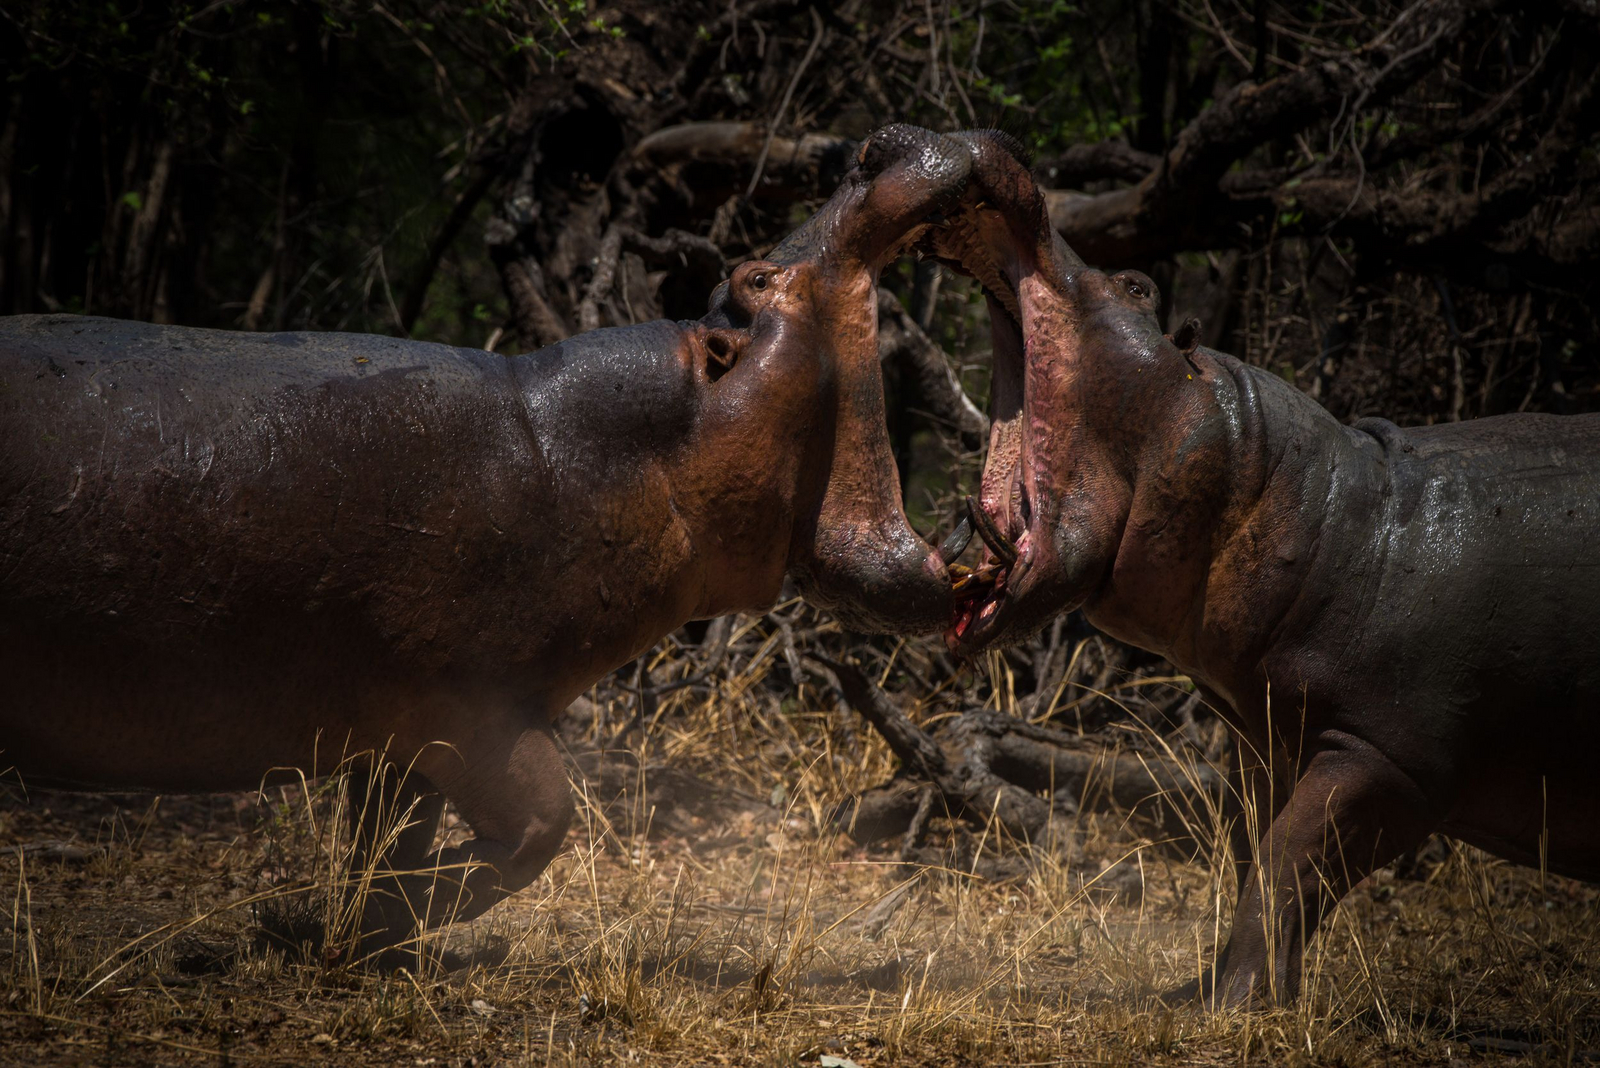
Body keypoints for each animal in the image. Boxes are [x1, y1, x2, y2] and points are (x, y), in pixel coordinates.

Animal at [0, 124, 965, 958]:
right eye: (760, 281)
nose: (893, 146)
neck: (601, 451)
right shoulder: (472, 708)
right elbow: (542, 827)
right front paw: (345, 919)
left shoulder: (394, 731)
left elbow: (388, 838)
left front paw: (344, 931)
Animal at [921, 128, 1600, 1006]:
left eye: (1137, 284)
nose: (980, 145)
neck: (1315, 513)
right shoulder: (1266, 743)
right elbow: (1256, 857)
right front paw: (1212, 993)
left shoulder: (1389, 757)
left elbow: (1285, 863)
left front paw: (1232, 1007)